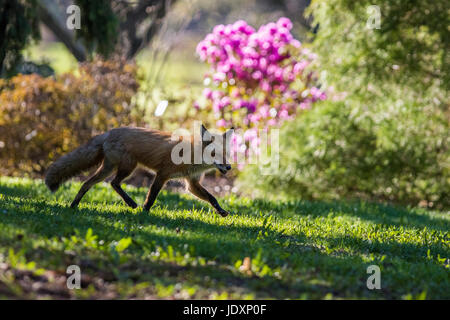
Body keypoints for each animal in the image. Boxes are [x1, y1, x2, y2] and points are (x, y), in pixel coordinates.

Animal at [45, 125, 234, 218]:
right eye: (215, 154)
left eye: (227, 154)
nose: (229, 167)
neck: (192, 155)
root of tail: (108, 132)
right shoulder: (163, 174)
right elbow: (152, 196)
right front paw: (145, 212)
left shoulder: (192, 183)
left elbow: (212, 197)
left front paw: (221, 211)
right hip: (128, 167)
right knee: (113, 183)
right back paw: (131, 203)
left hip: (110, 168)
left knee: (88, 183)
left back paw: (74, 205)